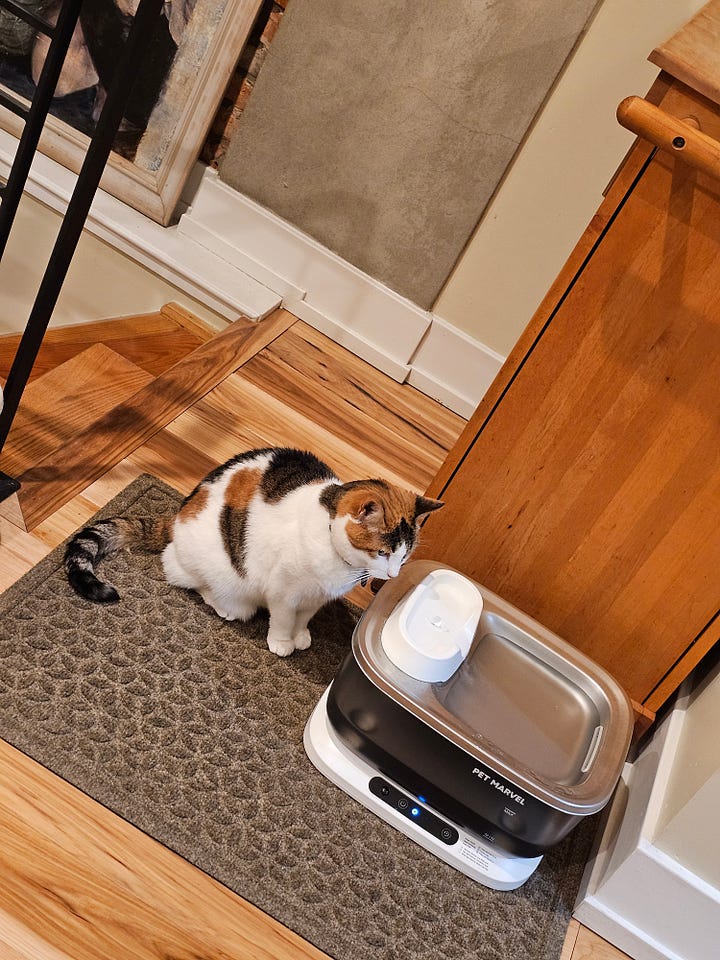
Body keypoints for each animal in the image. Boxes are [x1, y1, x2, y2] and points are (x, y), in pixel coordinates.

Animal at [64, 447, 444, 656]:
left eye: (404, 556)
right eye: (383, 552)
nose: (393, 575)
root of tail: (178, 515)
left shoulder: (316, 597)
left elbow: (304, 619)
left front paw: (301, 636)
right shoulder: (283, 591)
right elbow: (284, 618)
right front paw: (282, 642)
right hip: (220, 574)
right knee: (179, 572)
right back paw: (222, 605)